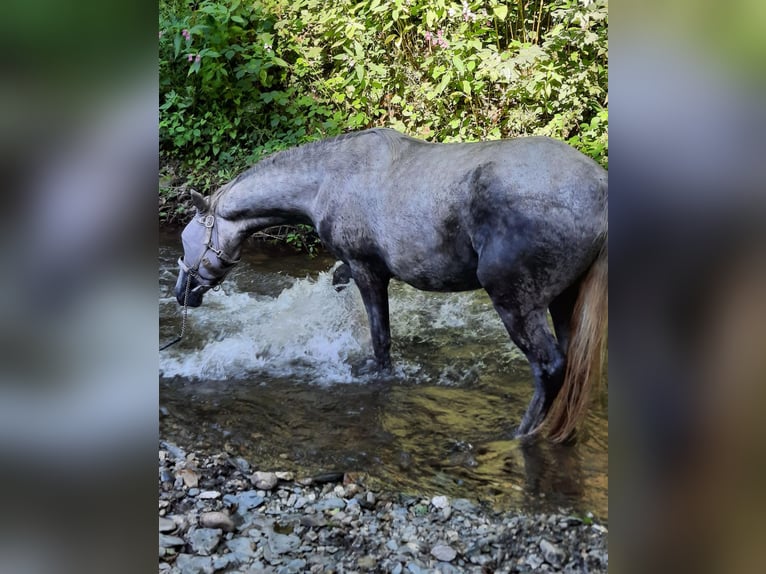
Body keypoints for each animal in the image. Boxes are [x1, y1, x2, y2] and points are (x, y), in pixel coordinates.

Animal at [172, 130, 608, 444]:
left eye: (185, 238)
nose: (181, 292)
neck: (328, 179)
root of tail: (599, 191)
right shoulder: (355, 267)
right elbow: (339, 284)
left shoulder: (369, 271)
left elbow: (380, 337)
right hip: (563, 300)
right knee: (570, 366)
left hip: (515, 302)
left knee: (549, 367)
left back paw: (521, 435)